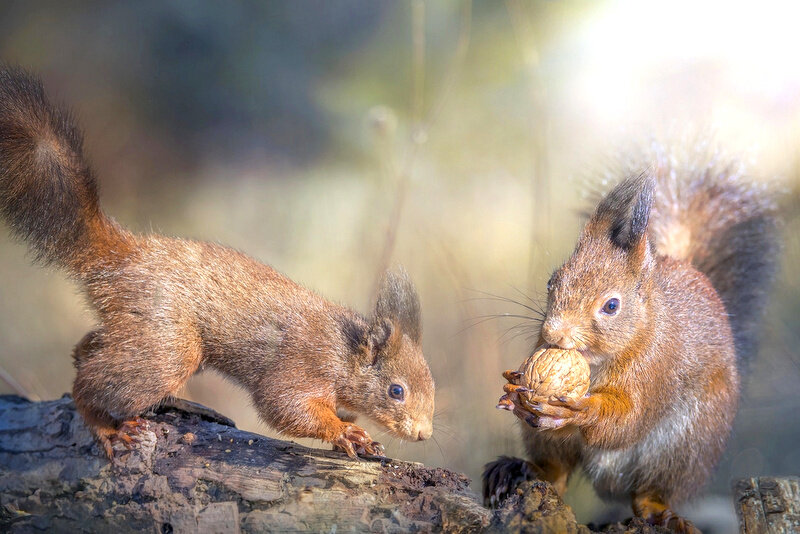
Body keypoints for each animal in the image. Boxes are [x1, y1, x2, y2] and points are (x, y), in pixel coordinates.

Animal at [0, 66, 434, 460]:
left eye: (431, 385)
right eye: (396, 390)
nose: (423, 434)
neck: (345, 353)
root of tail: (124, 255)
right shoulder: (303, 365)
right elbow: (285, 405)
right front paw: (346, 432)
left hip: (139, 329)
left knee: (92, 349)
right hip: (167, 344)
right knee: (90, 386)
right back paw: (105, 426)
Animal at [484, 144, 780, 532]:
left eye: (611, 306)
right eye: (552, 282)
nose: (553, 334)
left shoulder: (657, 367)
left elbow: (629, 419)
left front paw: (582, 409)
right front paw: (515, 388)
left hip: (684, 447)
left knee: (647, 493)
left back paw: (661, 513)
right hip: (549, 442)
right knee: (556, 471)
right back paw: (518, 470)